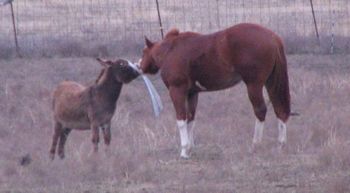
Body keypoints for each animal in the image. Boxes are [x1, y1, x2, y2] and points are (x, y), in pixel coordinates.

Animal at [139, 23, 290, 158]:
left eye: (143, 52)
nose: (139, 66)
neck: (170, 50)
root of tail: (273, 37)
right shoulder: (192, 94)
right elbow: (191, 119)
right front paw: (190, 149)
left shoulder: (177, 91)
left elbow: (181, 120)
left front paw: (184, 151)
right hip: (270, 83)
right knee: (279, 109)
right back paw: (281, 144)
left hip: (254, 85)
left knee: (260, 110)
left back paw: (255, 145)